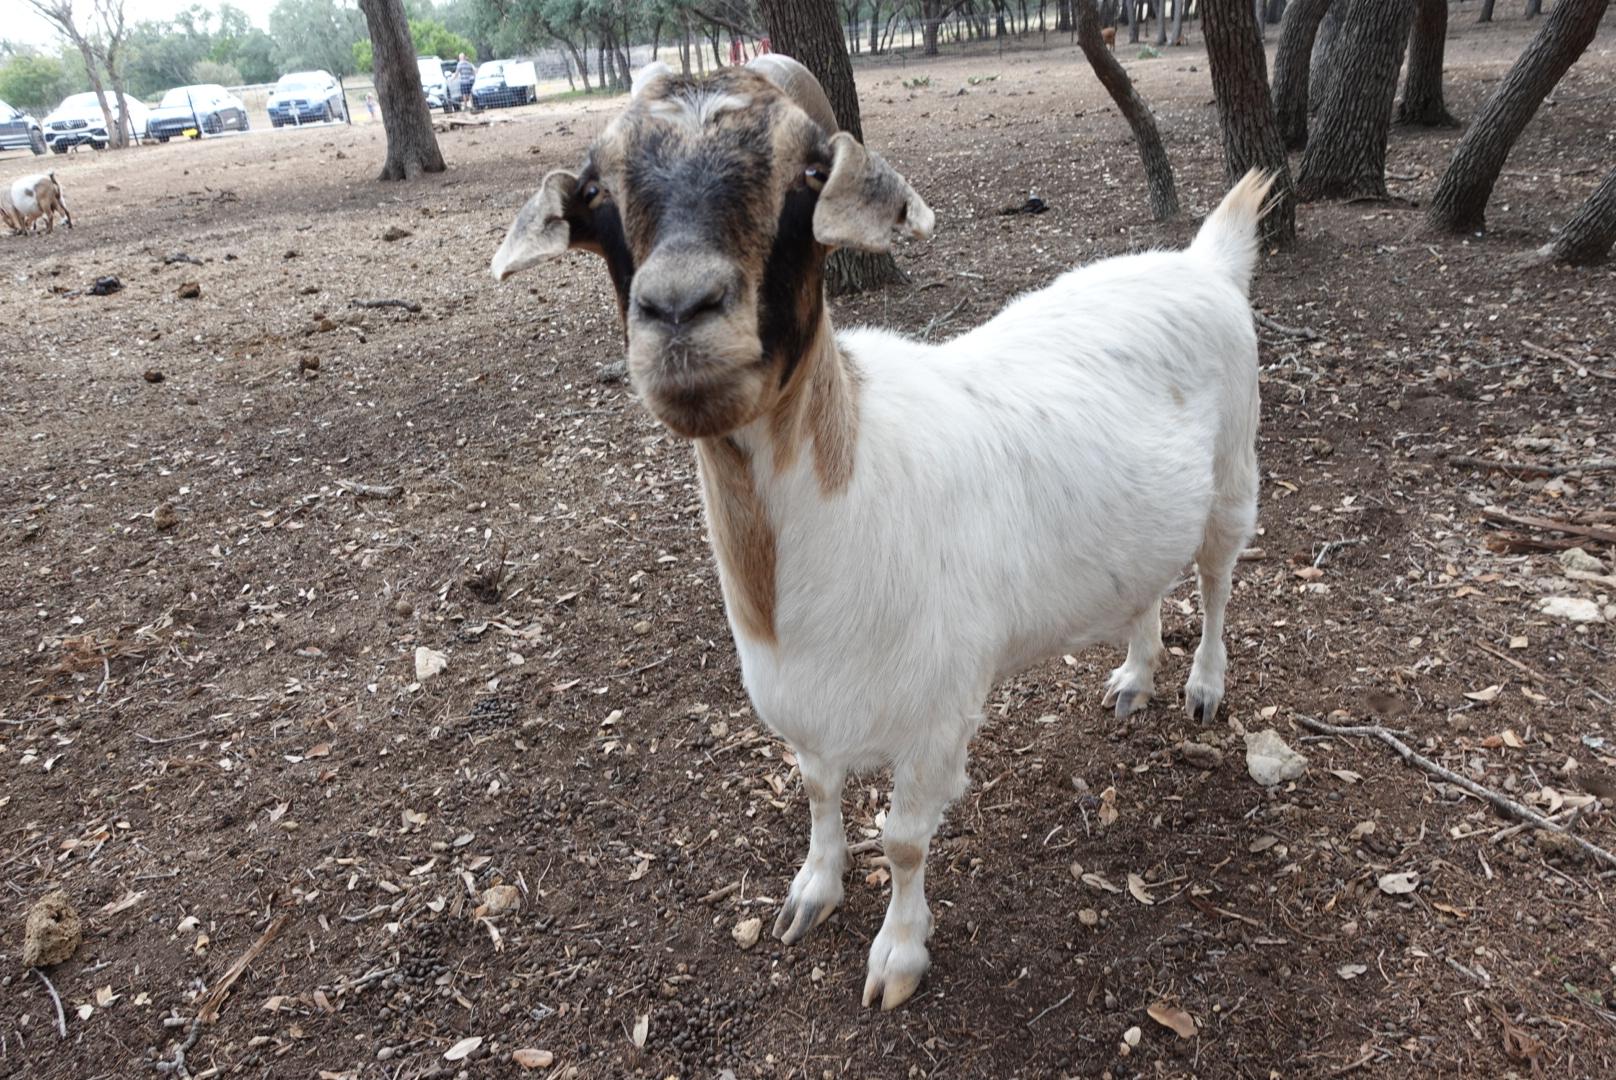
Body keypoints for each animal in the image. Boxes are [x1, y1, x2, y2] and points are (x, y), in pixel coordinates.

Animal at [492, 55, 1270, 1011]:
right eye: (598, 194)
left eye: (807, 175)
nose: (678, 309)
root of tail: (1204, 261)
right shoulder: (803, 703)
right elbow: (817, 790)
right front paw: (811, 894)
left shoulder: (938, 713)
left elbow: (901, 840)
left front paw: (897, 957)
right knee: (1149, 583)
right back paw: (1134, 676)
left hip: (1234, 474)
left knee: (1218, 580)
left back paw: (1202, 686)